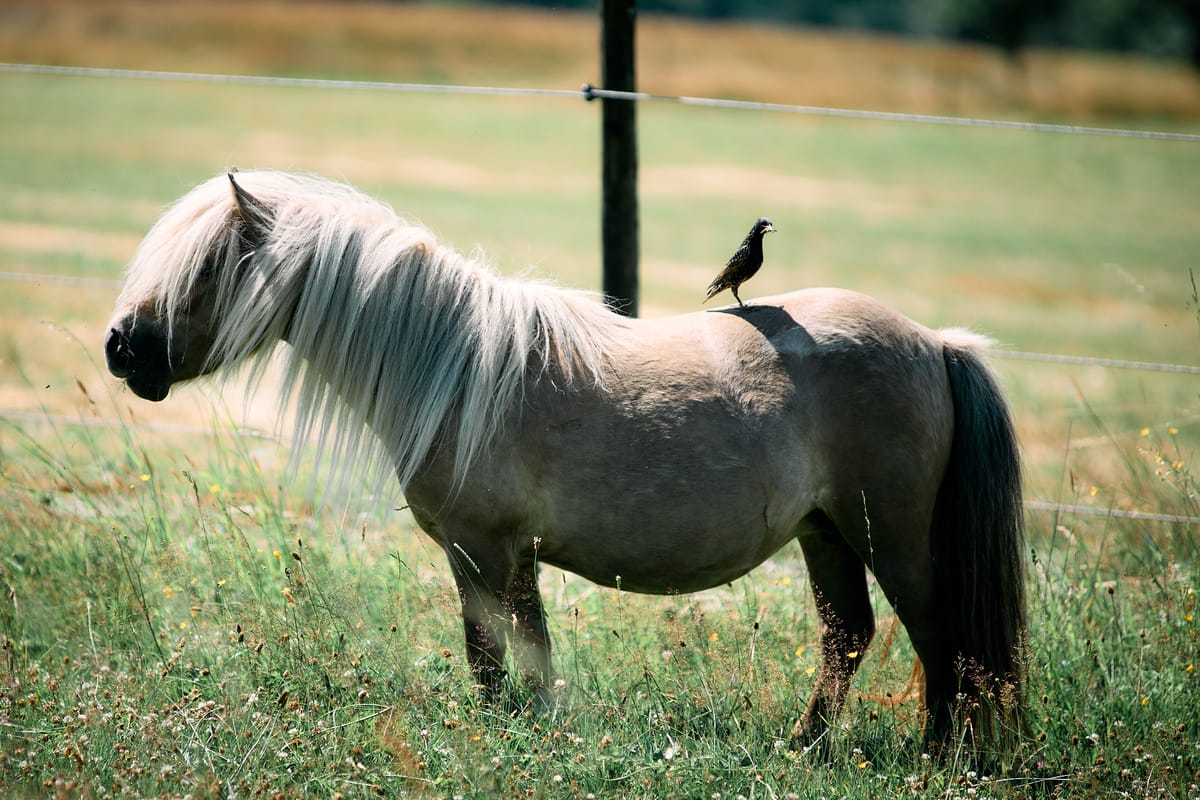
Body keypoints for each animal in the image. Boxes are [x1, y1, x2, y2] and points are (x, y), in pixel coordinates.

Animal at [104, 170, 1026, 754]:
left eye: (209, 265)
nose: (122, 347)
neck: (457, 367)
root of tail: (935, 343)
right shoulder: (511, 559)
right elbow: (529, 652)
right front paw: (542, 732)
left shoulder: (481, 550)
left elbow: (489, 656)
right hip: (827, 532)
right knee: (850, 637)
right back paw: (801, 747)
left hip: (891, 538)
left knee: (938, 638)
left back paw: (937, 754)